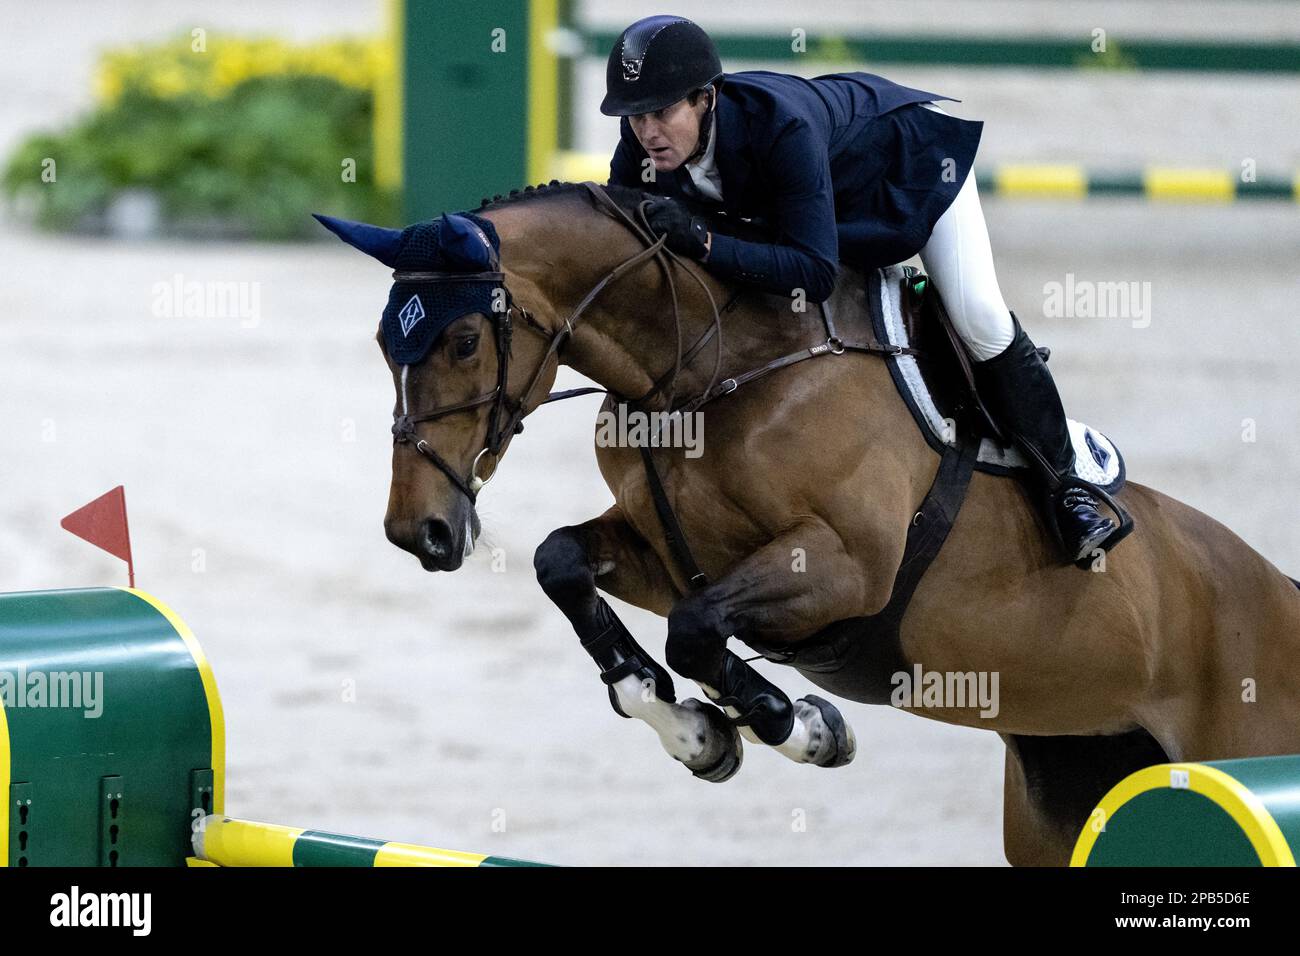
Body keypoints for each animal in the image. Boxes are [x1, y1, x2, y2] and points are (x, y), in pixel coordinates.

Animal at [314, 179, 1300, 868]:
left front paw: (799, 727)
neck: (708, 367)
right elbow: (566, 566)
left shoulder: (841, 568)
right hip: (1069, 781)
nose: (419, 532)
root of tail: (1281, 593)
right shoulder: (669, 553)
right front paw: (694, 731)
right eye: (383, 344)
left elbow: (697, 632)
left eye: (462, 342)